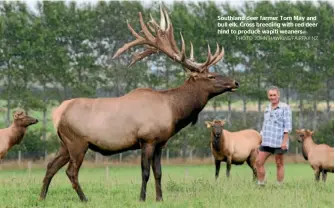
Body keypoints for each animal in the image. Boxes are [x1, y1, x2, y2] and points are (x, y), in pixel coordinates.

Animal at [38, 7, 239, 202]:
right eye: (211, 76)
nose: (235, 82)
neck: (173, 110)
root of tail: (57, 113)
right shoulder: (147, 139)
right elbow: (145, 172)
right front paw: (142, 198)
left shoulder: (160, 143)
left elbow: (158, 172)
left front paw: (160, 198)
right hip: (77, 142)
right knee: (71, 171)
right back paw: (84, 199)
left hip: (65, 143)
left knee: (50, 166)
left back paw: (41, 197)